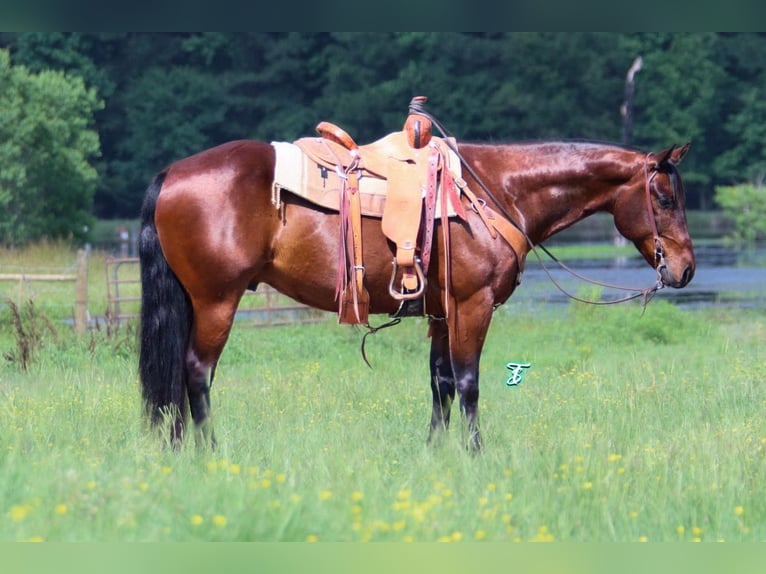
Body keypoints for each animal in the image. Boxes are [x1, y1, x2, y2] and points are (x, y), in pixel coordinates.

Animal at [138, 138, 696, 450]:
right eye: (664, 198)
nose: (687, 269)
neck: (495, 191)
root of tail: (173, 173)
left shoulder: (441, 314)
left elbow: (440, 383)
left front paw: (435, 451)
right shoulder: (472, 306)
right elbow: (468, 383)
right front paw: (474, 453)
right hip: (217, 301)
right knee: (197, 374)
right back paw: (209, 451)